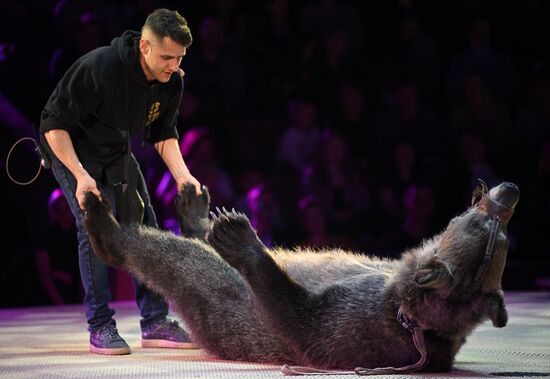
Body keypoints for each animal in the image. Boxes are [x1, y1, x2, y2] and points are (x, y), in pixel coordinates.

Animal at [83, 180, 520, 374]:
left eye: (483, 225)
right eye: (496, 230)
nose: (510, 190)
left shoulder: (357, 327)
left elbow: (298, 319)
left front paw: (242, 240)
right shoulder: (376, 275)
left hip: (212, 303)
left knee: (182, 261)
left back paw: (109, 226)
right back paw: (195, 211)